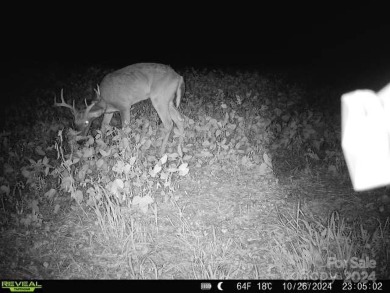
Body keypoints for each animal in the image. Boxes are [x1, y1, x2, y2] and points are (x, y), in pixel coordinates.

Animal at [53, 63, 186, 154]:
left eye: (86, 122)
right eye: (74, 123)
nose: (80, 141)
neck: (105, 99)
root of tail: (179, 77)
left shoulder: (124, 105)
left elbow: (125, 131)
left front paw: (126, 153)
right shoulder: (110, 111)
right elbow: (103, 127)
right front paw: (101, 148)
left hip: (159, 99)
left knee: (169, 123)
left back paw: (161, 153)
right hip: (168, 101)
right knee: (180, 120)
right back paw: (180, 148)